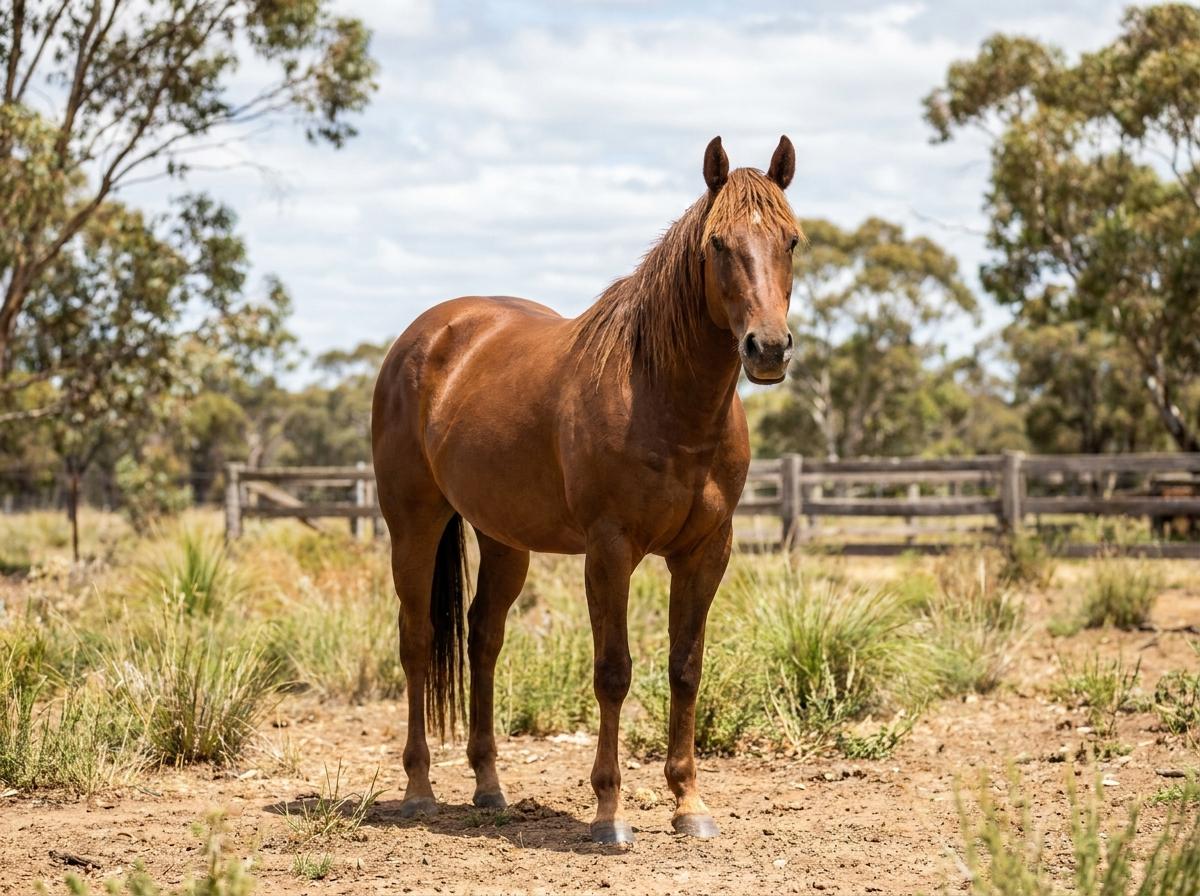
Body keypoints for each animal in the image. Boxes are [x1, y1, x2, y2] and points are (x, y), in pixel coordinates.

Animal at [371, 135, 798, 845]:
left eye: (791, 240)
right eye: (717, 243)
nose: (767, 348)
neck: (664, 399)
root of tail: (425, 336)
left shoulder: (706, 551)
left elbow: (685, 669)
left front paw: (689, 804)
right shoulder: (609, 550)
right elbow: (614, 672)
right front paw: (609, 814)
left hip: (504, 539)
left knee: (483, 639)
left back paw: (490, 788)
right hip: (413, 525)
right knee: (417, 641)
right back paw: (419, 790)